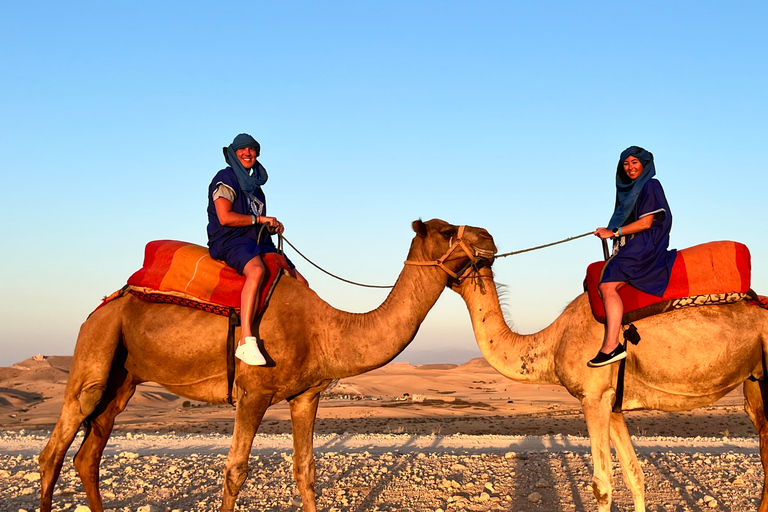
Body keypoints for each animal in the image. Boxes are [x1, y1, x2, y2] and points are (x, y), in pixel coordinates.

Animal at [39, 220, 498, 512]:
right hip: (96, 348)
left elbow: (306, 470)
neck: (323, 328)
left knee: (88, 454)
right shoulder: (253, 393)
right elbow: (235, 471)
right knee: (54, 452)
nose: (489, 237)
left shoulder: (306, 396)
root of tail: (105, 303)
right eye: (445, 230)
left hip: (124, 378)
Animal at [452, 264, 768, 512]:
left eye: (446, 234)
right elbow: (634, 475)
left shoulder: (593, 397)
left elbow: (601, 484)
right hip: (754, 381)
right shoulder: (613, 405)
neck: (554, 342)